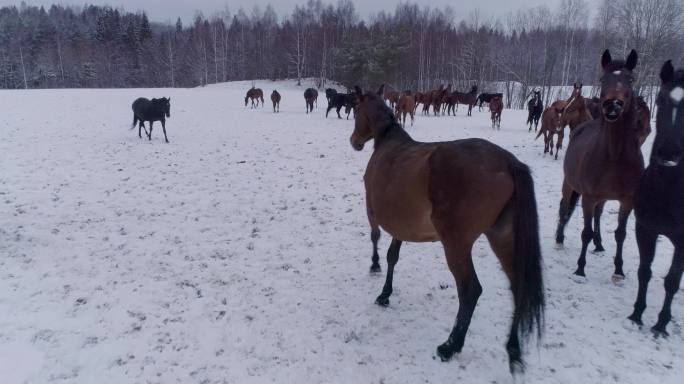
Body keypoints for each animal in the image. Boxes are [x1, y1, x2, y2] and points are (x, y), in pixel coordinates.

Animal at [552, 49, 644, 280]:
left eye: (630, 79)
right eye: (603, 79)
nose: (613, 105)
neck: (614, 155)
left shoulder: (627, 201)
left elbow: (620, 234)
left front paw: (618, 270)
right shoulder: (588, 197)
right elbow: (585, 232)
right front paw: (580, 268)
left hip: (602, 198)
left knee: (598, 216)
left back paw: (599, 243)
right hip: (570, 185)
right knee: (565, 208)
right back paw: (560, 239)